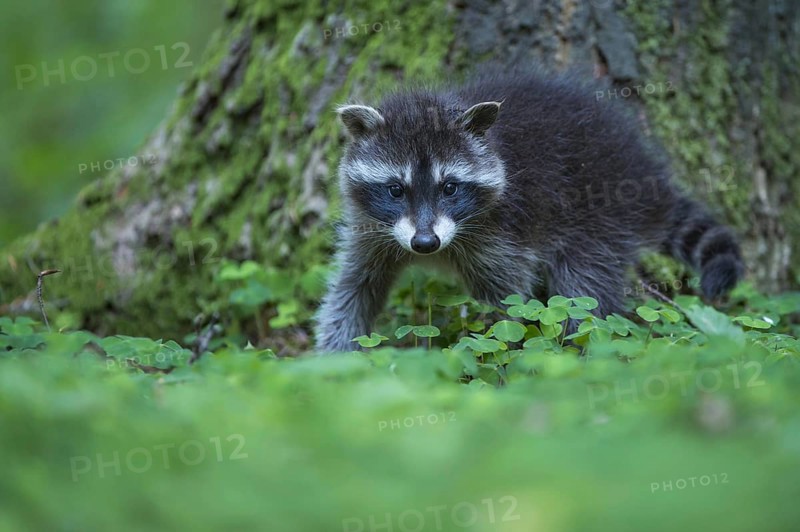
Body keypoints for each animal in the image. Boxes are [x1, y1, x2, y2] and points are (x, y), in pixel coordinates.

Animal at [315, 67, 744, 352]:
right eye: (395, 190)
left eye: (449, 188)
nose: (424, 244)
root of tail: (647, 177)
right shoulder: (372, 229)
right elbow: (353, 287)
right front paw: (336, 357)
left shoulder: (499, 236)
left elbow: (509, 302)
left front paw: (506, 354)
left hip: (599, 218)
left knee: (585, 287)